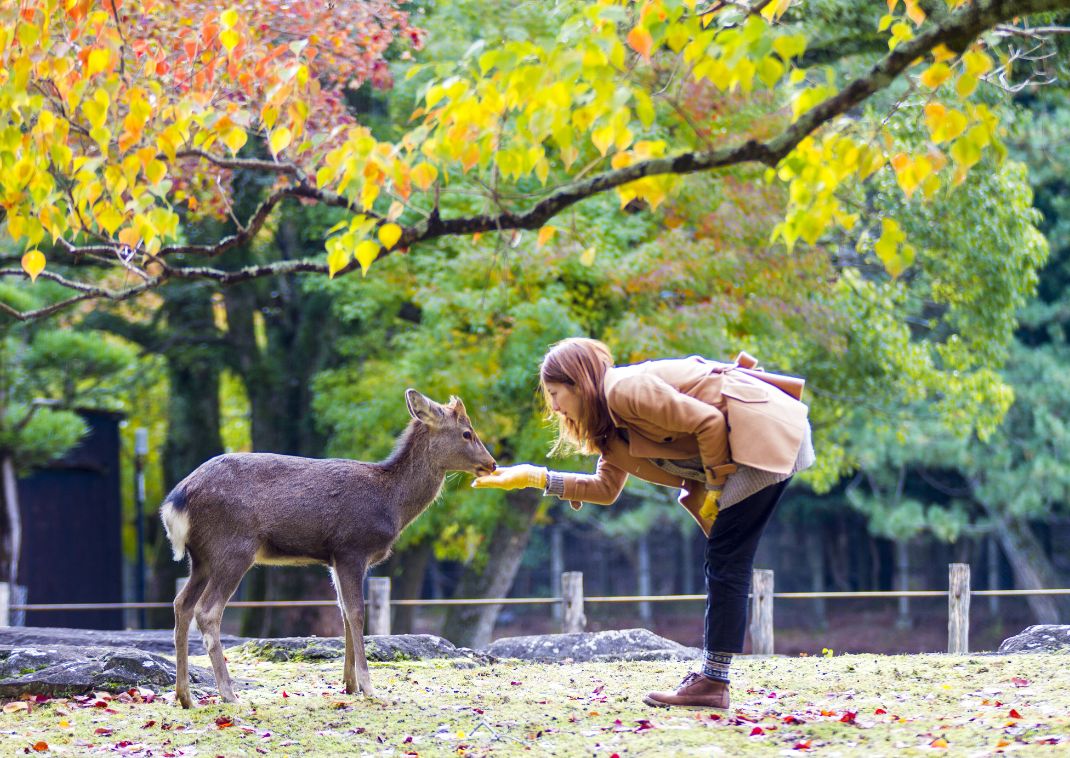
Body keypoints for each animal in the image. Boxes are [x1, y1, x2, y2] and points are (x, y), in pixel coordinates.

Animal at [157, 387, 496, 706]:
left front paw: (349, 684)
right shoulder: (352, 548)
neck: (392, 505)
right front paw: (369, 687)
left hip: (201, 558)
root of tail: (176, 501)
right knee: (207, 610)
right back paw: (229, 693)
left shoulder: (334, 558)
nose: (491, 464)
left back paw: (185, 696)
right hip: (233, 547)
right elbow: (357, 613)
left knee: (180, 604)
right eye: (467, 432)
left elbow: (343, 613)